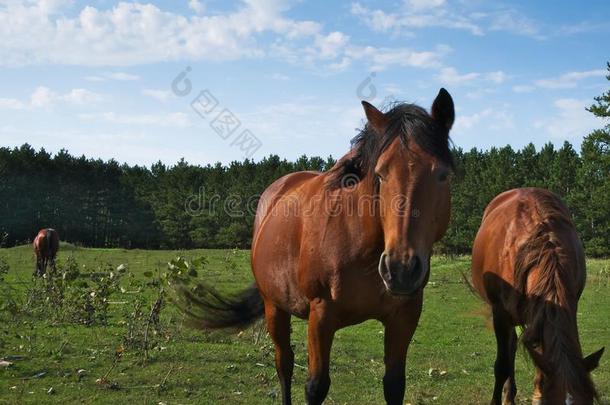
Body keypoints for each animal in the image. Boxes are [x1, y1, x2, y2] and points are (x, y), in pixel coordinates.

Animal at [183, 89, 454, 404]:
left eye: (443, 175)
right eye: (380, 174)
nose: (400, 269)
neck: (361, 245)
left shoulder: (404, 317)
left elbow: (395, 385)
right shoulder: (321, 316)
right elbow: (315, 386)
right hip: (274, 306)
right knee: (284, 364)